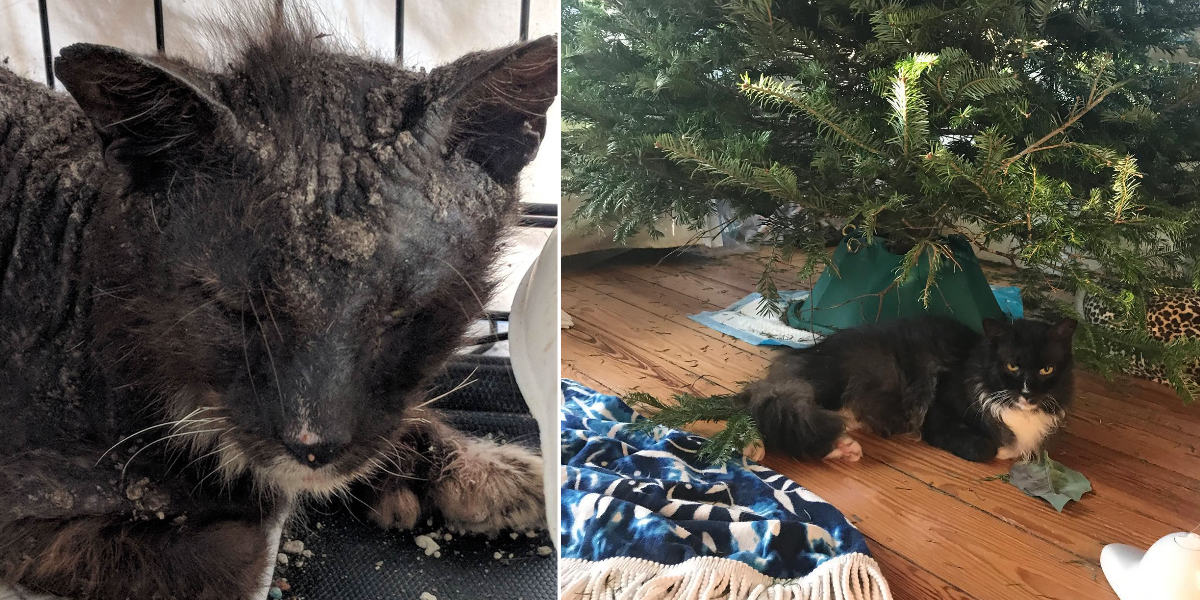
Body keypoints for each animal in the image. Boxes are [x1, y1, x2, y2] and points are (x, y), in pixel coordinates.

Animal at [0, 5, 554, 600]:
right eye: (234, 309)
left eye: (403, 313)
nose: (313, 444)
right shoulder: (24, 507)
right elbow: (235, 546)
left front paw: (479, 473)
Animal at [739, 314, 1080, 463]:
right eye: (1012, 366)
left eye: (1046, 369)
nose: (1027, 393)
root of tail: (804, 354)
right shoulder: (939, 415)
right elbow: (989, 449)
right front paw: (998, 447)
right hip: (825, 386)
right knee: (753, 403)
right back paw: (752, 449)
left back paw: (844, 447)